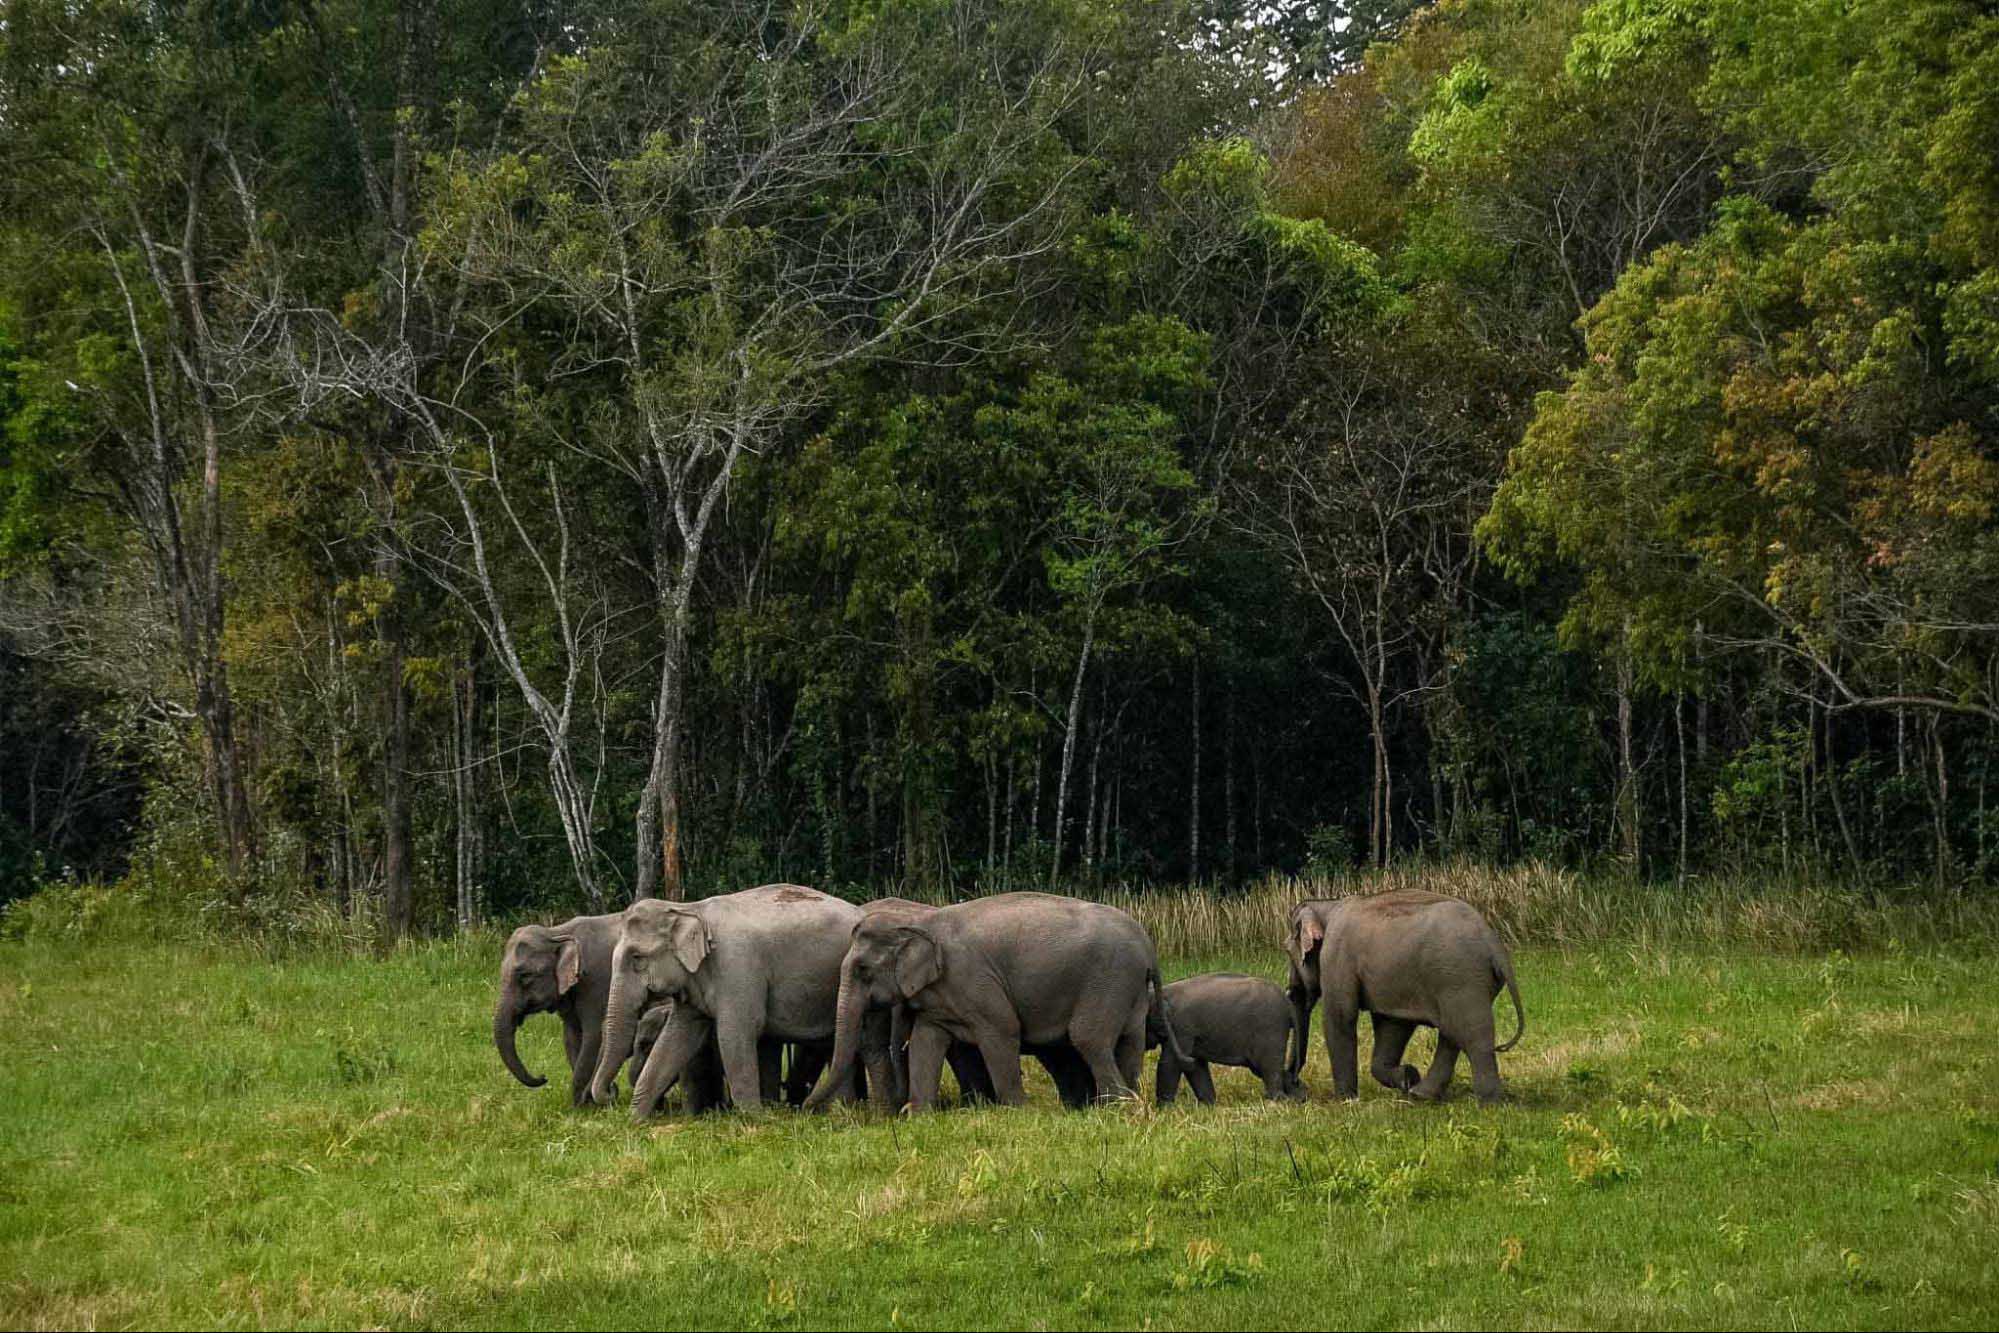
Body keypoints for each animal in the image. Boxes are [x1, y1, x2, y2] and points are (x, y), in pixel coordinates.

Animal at [583, 887, 887, 1119]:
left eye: (637, 958)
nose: (611, 1093)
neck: (689, 909)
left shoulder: (736, 967)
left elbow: (736, 1034)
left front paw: (756, 1120)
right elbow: (677, 1037)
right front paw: (634, 1122)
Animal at [1151, 971, 1303, 1103]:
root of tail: (1289, 1005)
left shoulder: (1180, 1029)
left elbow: (1171, 1063)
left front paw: (1164, 1108)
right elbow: (1195, 1065)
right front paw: (1209, 1105)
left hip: (1270, 1029)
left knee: (1268, 1068)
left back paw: (1278, 1100)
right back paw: (1299, 1098)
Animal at [1287, 891, 1519, 1103]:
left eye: (1288, 951)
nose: (1298, 1087)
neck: (1328, 905)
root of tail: (1493, 942)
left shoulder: (1336, 956)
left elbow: (1340, 1016)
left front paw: (1345, 1100)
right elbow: (1393, 1026)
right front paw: (1407, 1077)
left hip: (1461, 977)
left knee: (1472, 1034)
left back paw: (1489, 1103)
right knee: (1452, 1033)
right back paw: (1421, 1094)